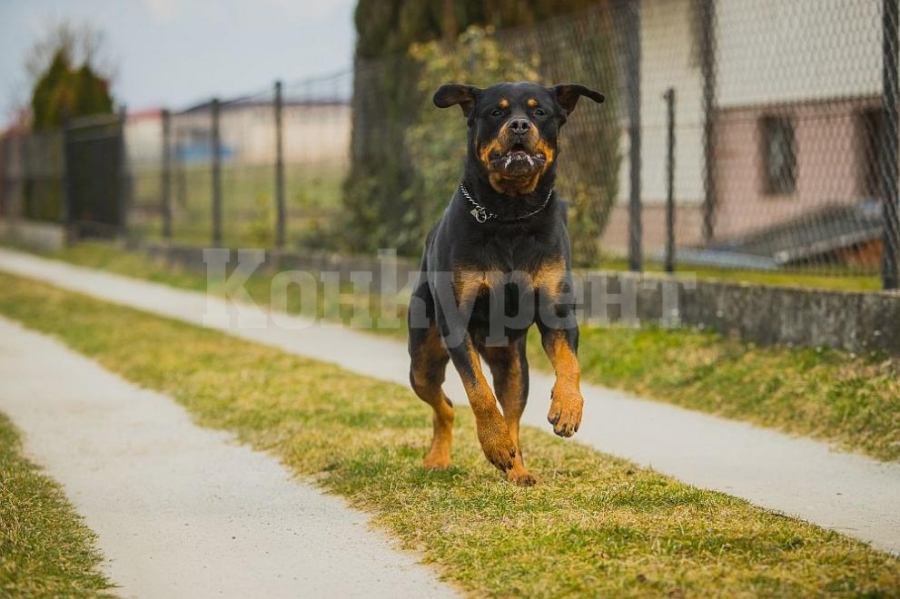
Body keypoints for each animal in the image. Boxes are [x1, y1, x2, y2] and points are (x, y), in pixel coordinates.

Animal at [408, 79, 604, 486]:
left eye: (539, 111)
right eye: (495, 112)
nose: (518, 125)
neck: (511, 215)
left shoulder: (556, 310)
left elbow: (570, 362)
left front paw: (568, 408)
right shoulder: (456, 321)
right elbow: (478, 391)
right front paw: (493, 442)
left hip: (513, 363)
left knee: (512, 411)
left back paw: (517, 469)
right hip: (422, 359)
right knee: (444, 404)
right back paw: (442, 457)